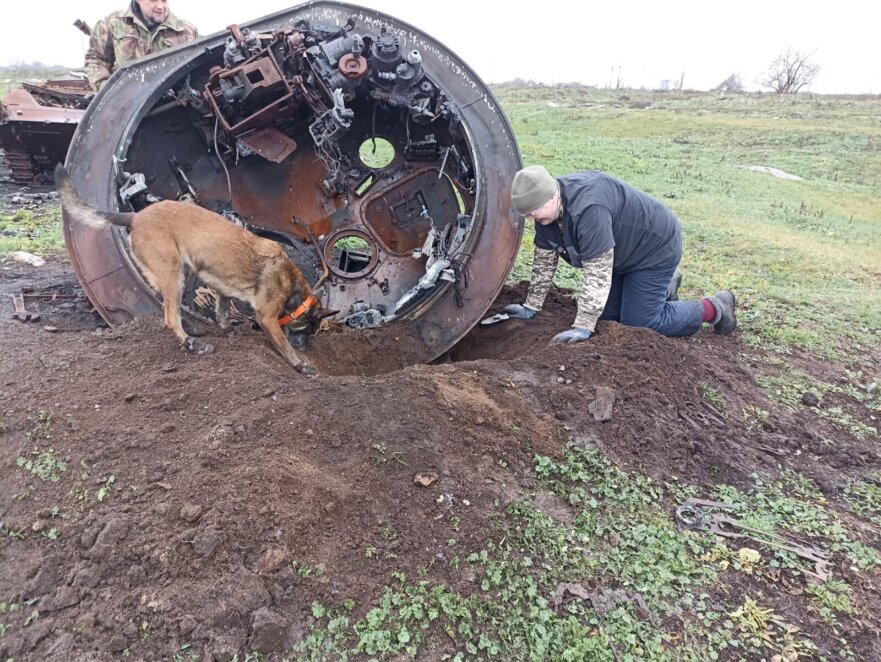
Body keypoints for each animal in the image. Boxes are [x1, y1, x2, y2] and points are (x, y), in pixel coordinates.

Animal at [56, 164, 334, 376]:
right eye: (309, 329)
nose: (305, 348)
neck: (292, 286)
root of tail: (135, 217)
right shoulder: (266, 316)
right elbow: (283, 345)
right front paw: (300, 365)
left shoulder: (223, 290)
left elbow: (222, 313)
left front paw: (228, 330)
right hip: (174, 273)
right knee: (170, 317)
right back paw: (194, 345)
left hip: (181, 272)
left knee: (169, 308)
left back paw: (192, 329)